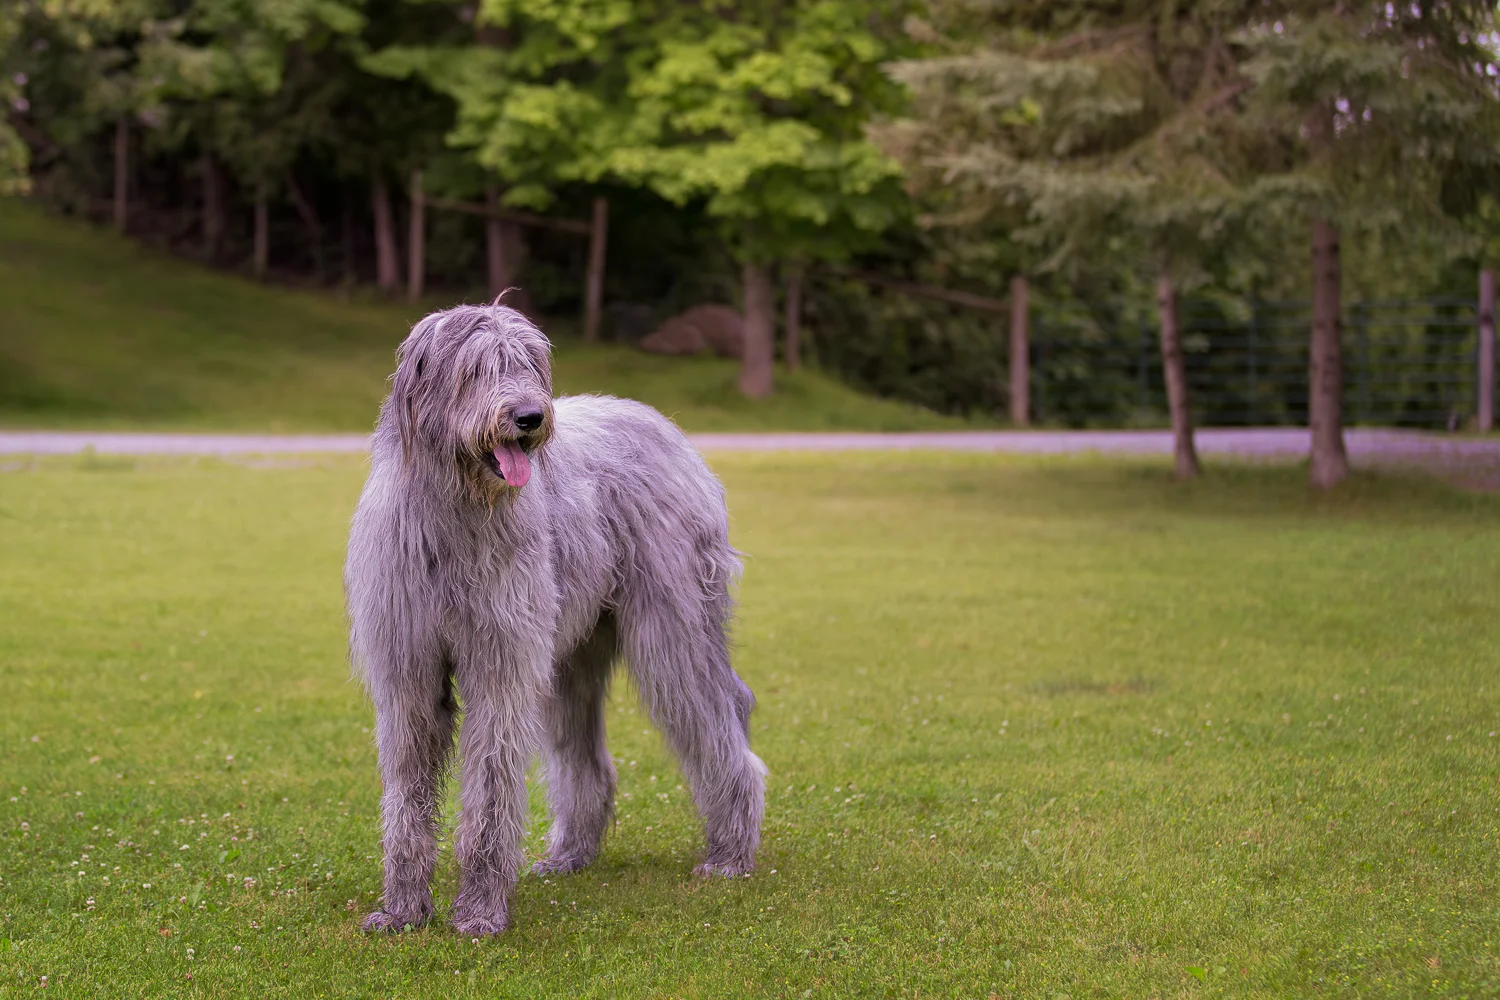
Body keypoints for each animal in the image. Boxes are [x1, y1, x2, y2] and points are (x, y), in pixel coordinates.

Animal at [345, 303, 765, 936]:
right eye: (475, 369)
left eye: (528, 364)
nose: (530, 417)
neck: (455, 514)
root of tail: (663, 426)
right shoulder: (408, 671)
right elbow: (408, 789)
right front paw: (402, 910)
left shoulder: (501, 662)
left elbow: (491, 785)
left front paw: (480, 911)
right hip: (570, 656)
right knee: (589, 759)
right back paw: (570, 854)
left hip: (672, 628)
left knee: (718, 718)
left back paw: (731, 853)